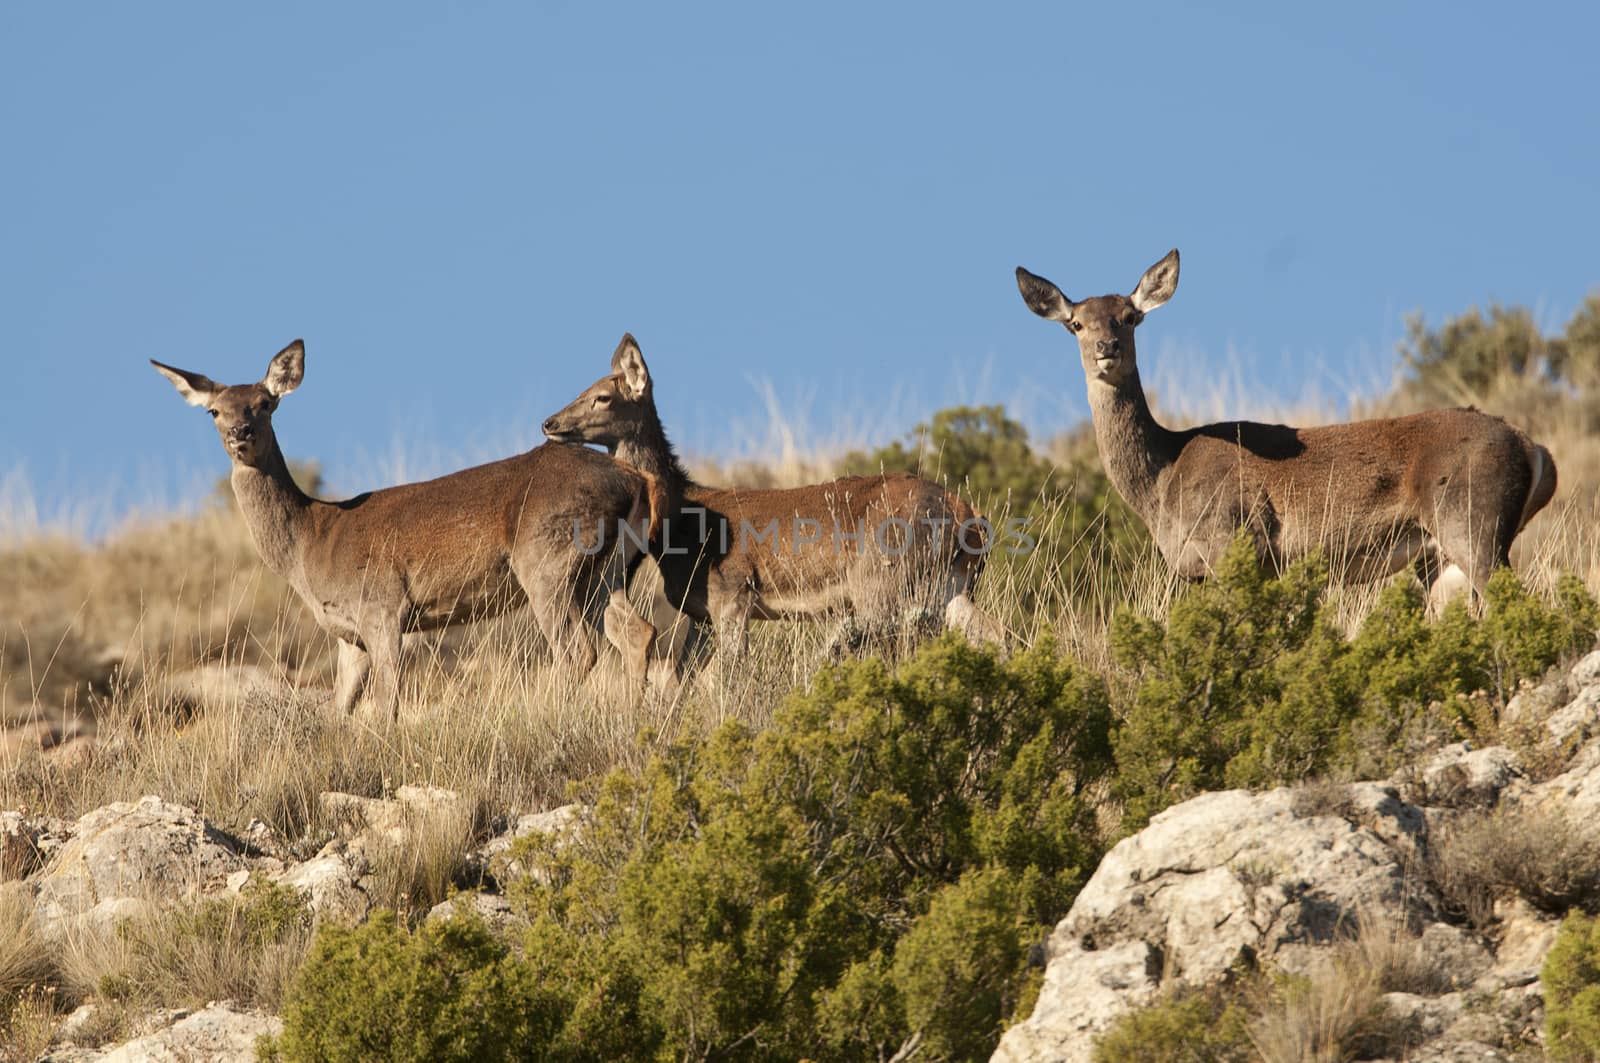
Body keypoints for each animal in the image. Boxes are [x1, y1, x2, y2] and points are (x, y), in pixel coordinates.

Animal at [151, 340, 662, 723]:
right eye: (214, 411)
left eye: (265, 403)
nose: (240, 433)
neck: (309, 544)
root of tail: (636, 479)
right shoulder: (349, 635)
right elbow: (339, 710)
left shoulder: (382, 604)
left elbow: (387, 705)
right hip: (606, 571)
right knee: (638, 631)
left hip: (546, 559)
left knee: (578, 651)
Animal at [544, 332, 1004, 669]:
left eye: (603, 396)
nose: (550, 422)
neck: (682, 519)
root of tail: (971, 517)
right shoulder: (700, 612)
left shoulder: (732, 593)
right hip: (950, 583)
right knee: (993, 632)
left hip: (883, 581)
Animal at [1017, 246, 1555, 598]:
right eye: (1075, 323)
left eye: (1131, 317)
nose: (1106, 348)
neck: (1162, 482)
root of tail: (1535, 450)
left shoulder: (1237, 542)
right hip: (1439, 558)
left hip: (1472, 517)